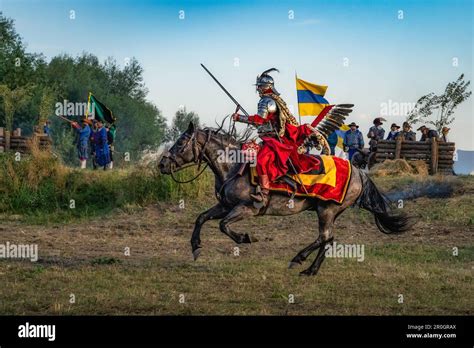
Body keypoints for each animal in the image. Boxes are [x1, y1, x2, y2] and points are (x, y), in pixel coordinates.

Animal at [158, 123, 412, 276]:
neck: (235, 166)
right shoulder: (224, 205)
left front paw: (245, 237)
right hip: (329, 212)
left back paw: (300, 261)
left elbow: (223, 225)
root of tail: (359, 172)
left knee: (325, 237)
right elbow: (201, 218)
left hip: (327, 210)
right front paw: (195, 247)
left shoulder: (247, 209)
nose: (161, 164)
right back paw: (309, 268)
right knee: (327, 240)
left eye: (180, 143)